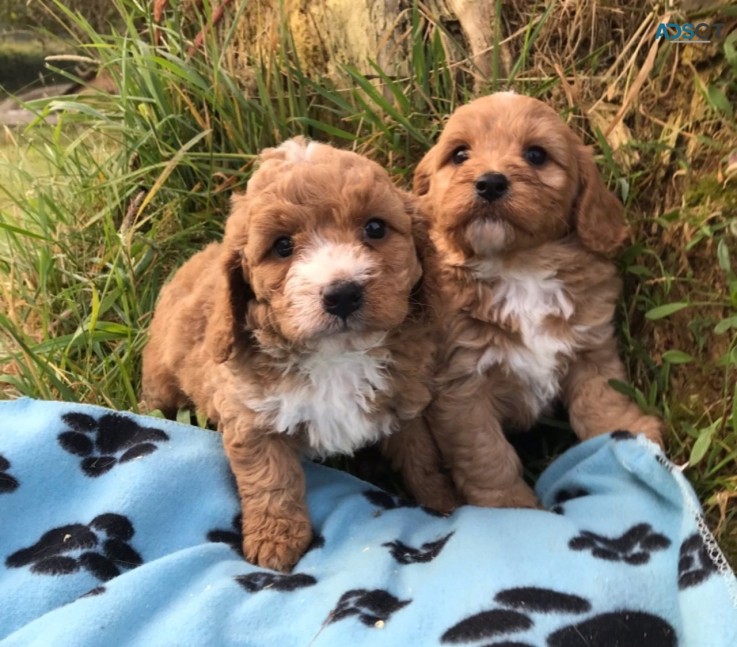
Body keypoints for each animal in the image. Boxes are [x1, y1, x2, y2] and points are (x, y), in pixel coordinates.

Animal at [141, 137, 458, 572]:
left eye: (375, 227)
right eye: (282, 246)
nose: (342, 293)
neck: (336, 357)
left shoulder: (405, 401)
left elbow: (422, 459)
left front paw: (442, 504)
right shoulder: (249, 418)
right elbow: (271, 480)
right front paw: (275, 543)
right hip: (161, 379)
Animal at [414, 92, 660, 512]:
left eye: (536, 155)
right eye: (460, 154)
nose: (490, 182)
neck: (518, 268)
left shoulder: (591, 349)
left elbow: (602, 402)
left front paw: (629, 440)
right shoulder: (462, 389)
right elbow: (487, 455)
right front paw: (511, 508)